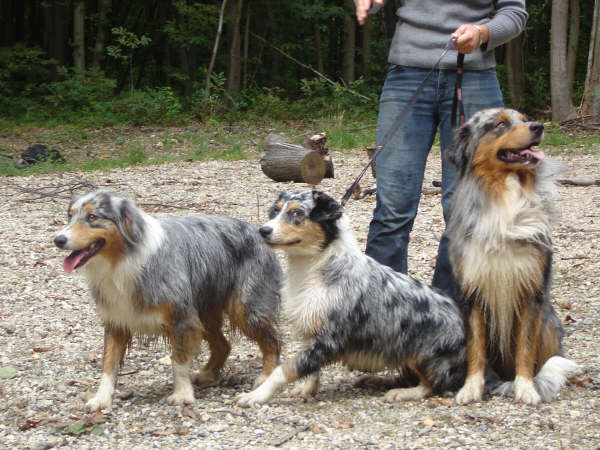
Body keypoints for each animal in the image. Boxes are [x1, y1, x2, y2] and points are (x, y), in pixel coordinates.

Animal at [53, 189, 282, 411]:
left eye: (92, 217)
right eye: (70, 215)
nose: (58, 239)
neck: (122, 260)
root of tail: (257, 230)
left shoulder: (181, 316)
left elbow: (178, 360)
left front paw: (182, 395)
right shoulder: (117, 319)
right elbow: (109, 363)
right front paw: (101, 398)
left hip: (244, 308)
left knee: (273, 341)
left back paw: (265, 376)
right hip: (205, 310)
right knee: (223, 345)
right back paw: (207, 374)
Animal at [236, 190, 468, 407]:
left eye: (297, 213)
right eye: (275, 211)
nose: (263, 230)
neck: (316, 264)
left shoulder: (330, 338)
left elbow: (285, 369)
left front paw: (256, 395)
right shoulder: (313, 330)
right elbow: (311, 369)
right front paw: (307, 389)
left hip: (417, 349)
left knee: (432, 385)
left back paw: (403, 393)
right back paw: (375, 381)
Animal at [446, 108, 581, 405]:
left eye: (525, 118)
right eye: (500, 124)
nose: (538, 126)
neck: (505, 195)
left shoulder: (531, 290)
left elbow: (526, 348)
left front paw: (526, 388)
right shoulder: (472, 291)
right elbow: (475, 348)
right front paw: (471, 388)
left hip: (550, 325)